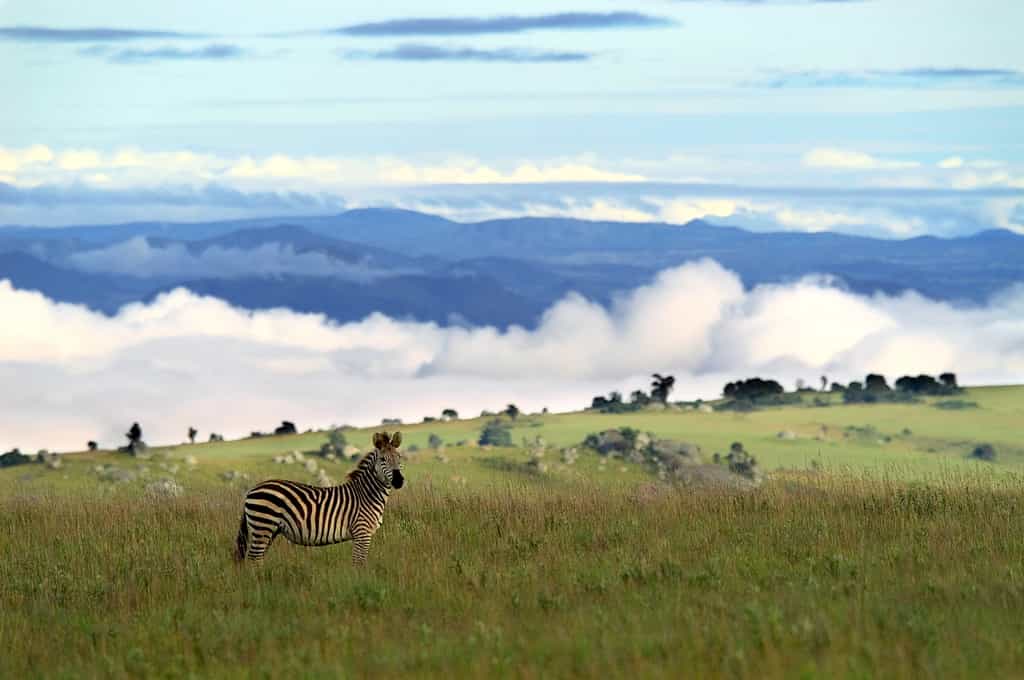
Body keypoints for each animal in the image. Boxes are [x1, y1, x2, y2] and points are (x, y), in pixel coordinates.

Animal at [234, 431, 404, 565]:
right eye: (382, 459)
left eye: (399, 458)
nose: (399, 481)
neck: (367, 494)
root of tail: (252, 489)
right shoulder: (362, 532)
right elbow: (359, 563)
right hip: (263, 525)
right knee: (254, 559)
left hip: (268, 529)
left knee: (256, 558)